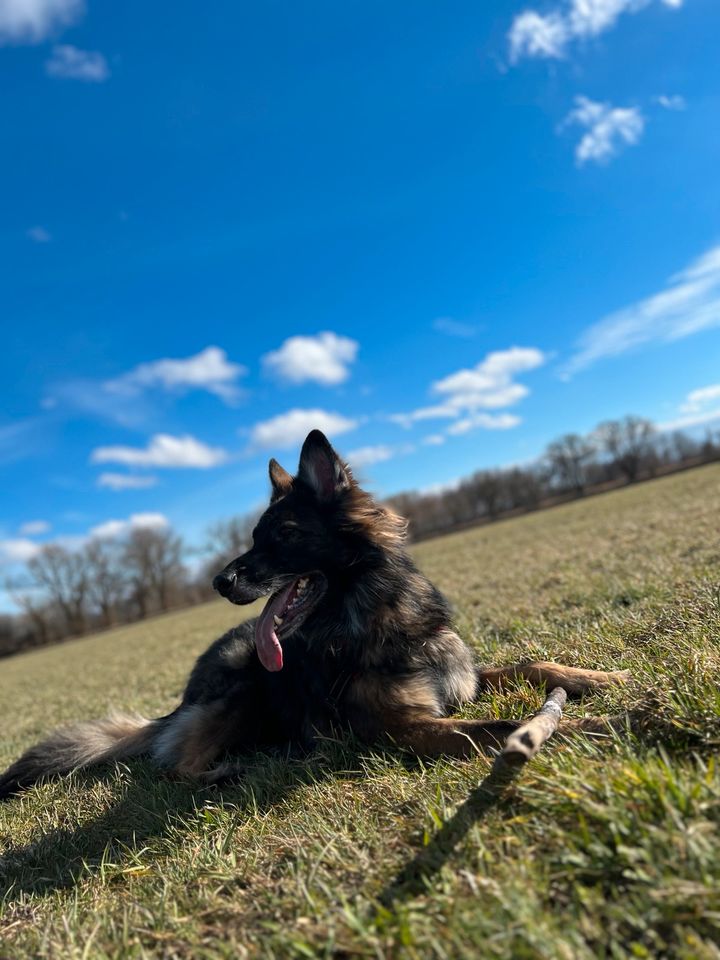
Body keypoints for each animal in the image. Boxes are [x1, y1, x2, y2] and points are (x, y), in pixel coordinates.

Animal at [0, 432, 628, 800]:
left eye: (282, 534)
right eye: (253, 538)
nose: (218, 581)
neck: (382, 621)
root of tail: (182, 698)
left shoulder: (462, 676)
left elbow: (530, 665)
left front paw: (600, 679)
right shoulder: (407, 728)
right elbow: (503, 728)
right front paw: (609, 724)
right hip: (244, 685)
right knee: (171, 765)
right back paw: (227, 771)